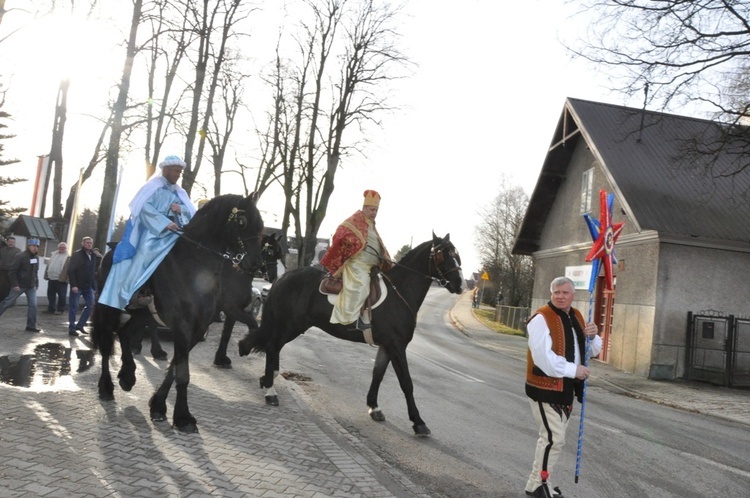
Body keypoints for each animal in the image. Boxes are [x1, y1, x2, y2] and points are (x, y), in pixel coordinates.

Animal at [92, 193, 264, 434]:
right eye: (242, 221)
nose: (256, 263)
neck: (194, 266)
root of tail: (107, 253)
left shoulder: (197, 328)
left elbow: (175, 368)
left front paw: (158, 406)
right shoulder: (183, 325)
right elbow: (183, 373)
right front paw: (183, 417)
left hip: (142, 315)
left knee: (125, 334)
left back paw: (128, 376)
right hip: (108, 309)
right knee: (107, 344)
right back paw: (107, 387)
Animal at [239, 233, 464, 436]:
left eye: (457, 255)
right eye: (444, 255)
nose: (460, 284)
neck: (399, 294)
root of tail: (282, 278)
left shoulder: (386, 346)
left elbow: (378, 375)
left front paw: (374, 407)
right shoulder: (397, 346)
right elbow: (406, 383)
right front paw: (418, 422)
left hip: (292, 326)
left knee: (273, 348)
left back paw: (267, 380)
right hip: (290, 325)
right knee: (272, 348)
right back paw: (271, 392)